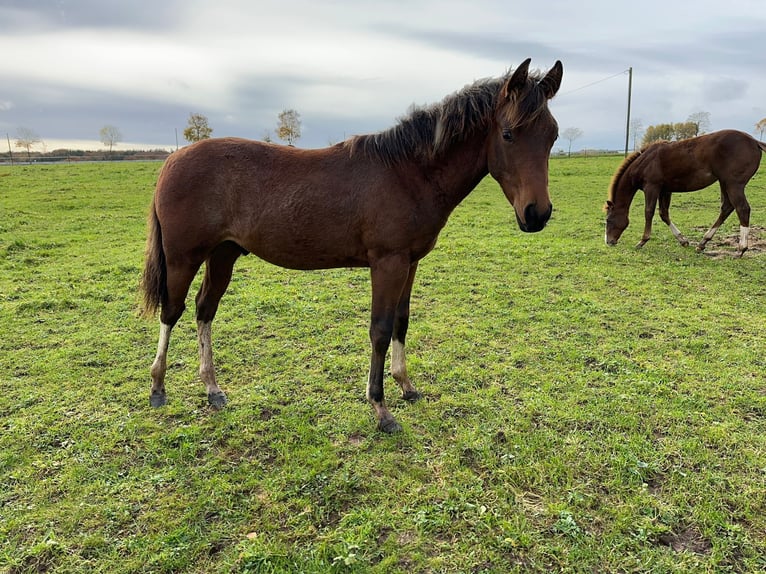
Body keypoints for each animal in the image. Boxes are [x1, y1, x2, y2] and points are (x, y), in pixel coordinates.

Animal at [142, 59, 564, 436]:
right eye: (508, 134)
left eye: (553, 135)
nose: (537, 214)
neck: (409, 173)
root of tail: (173, 160)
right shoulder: (388, 263)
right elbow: (380, 328)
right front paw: (380, 408)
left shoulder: (410, 263)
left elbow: (401, 321)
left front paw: (406, 386)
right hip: (183, 257)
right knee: (172, 310)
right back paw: (158, 387)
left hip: (223, 254)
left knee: (204, 309)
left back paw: (212, 389)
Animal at [608, 132, 766, 258]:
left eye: (608, 220)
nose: (609, 241)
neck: (645, 161)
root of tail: (754, 142)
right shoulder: (665, 190)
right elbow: (664, 214)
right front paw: (683, 240)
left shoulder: (652, 187)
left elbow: (649, 212)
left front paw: (642, 241)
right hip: (724, 183)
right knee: (727, 207)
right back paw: (702, 244)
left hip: (733, 184)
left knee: (742, 209)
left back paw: (741, 249)